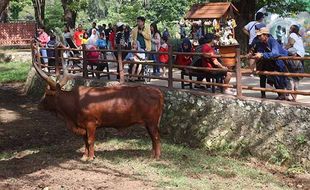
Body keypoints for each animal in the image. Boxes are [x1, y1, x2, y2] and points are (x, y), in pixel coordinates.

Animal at [32, 62, 165, 160]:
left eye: (47, 94)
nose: (38, 105)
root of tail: (156, 91)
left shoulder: (90, 124)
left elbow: (90, 140)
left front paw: (91, 157)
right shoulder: (83, 126)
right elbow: (85, 141)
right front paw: (84, 156)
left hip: (151, 123)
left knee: (156, 137)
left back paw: (157, 156)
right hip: (149, 124)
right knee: (153, 138)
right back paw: (152, 155)